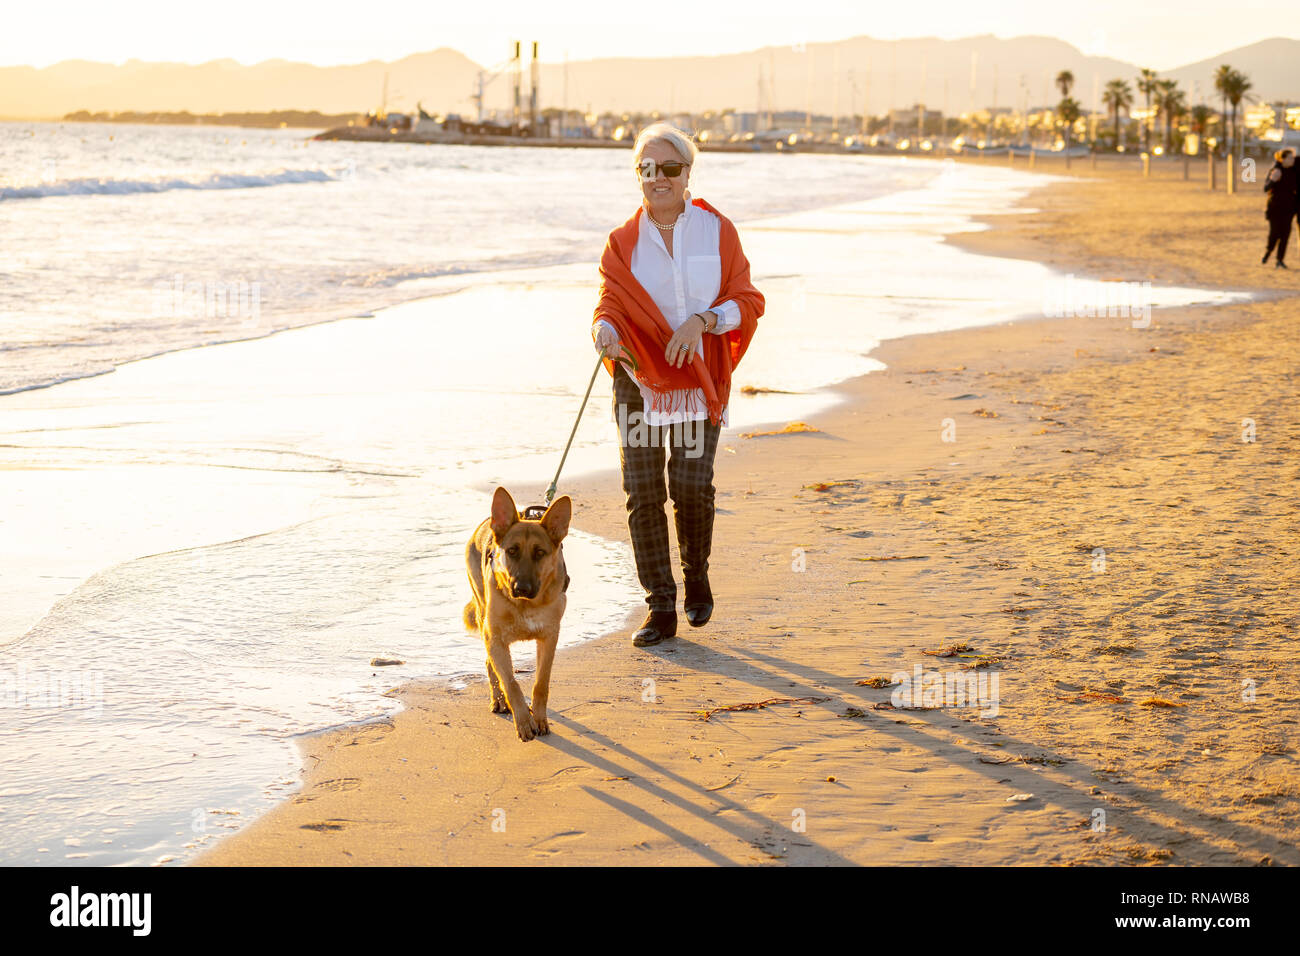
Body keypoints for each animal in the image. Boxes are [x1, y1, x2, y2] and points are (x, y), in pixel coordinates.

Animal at [465, 489, 572, 743]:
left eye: (540, 553)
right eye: (512, 551)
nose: (521, 588)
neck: (526, 605)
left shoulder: (549, 638)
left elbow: (541, 683)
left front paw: (539, 718)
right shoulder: (496, 641)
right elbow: (511, 683)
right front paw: (523, 721)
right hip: (484, 620)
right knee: (490, 665)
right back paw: (499, 700)